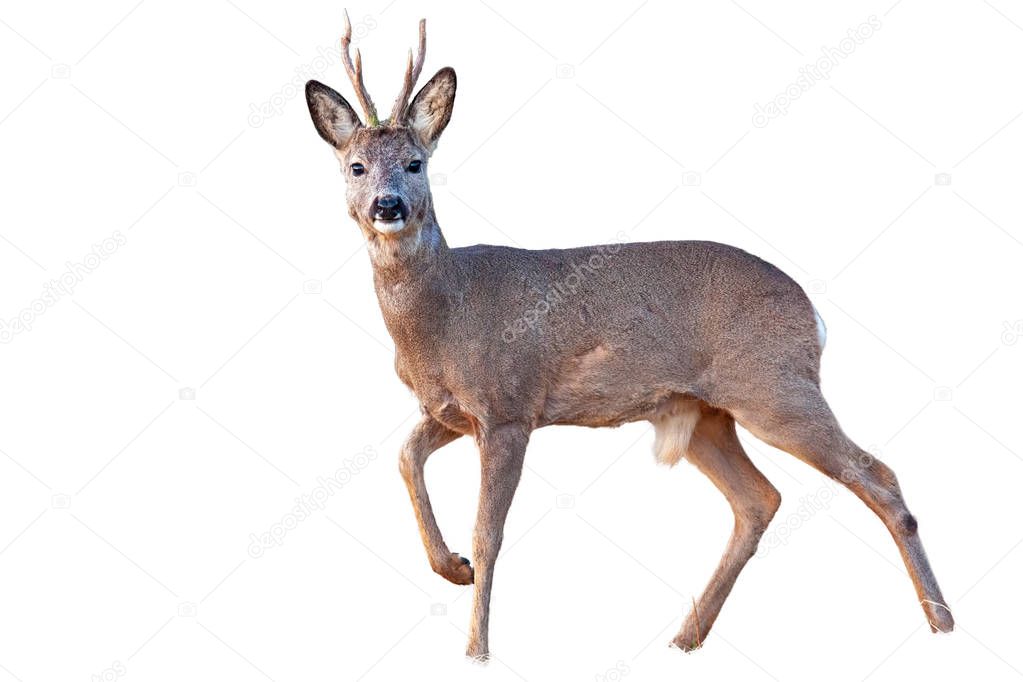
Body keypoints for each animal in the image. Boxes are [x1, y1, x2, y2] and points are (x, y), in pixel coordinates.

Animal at [300, 10, 949, 662]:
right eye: (356, 166)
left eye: (416, 163)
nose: (387, 206)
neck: (441, 320)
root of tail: (813, 311)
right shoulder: (452, 410)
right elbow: (406, 457)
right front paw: (452, 568)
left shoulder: (510, 405)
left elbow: (490, 531)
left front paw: (476, 648)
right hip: (705, 413)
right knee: (760, 500)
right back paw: (685, 637)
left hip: (773, 386)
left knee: (878, 476)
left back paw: (941, 623)